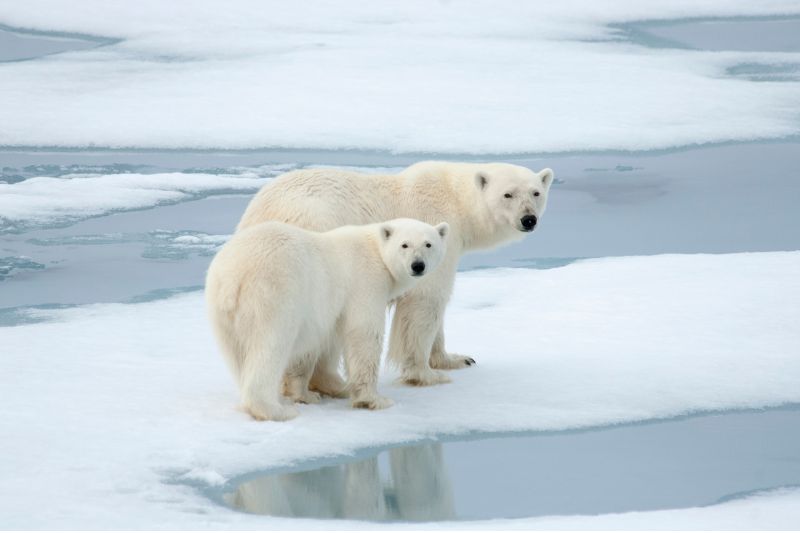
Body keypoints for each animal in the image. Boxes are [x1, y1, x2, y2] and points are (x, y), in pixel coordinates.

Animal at [234, 160, 552, 388]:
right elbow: (426, 300)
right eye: (508, 194)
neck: (455, 199)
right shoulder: (431, 229)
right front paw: (425, 373)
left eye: (536, 192)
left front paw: (456, 359)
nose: (528, 219)